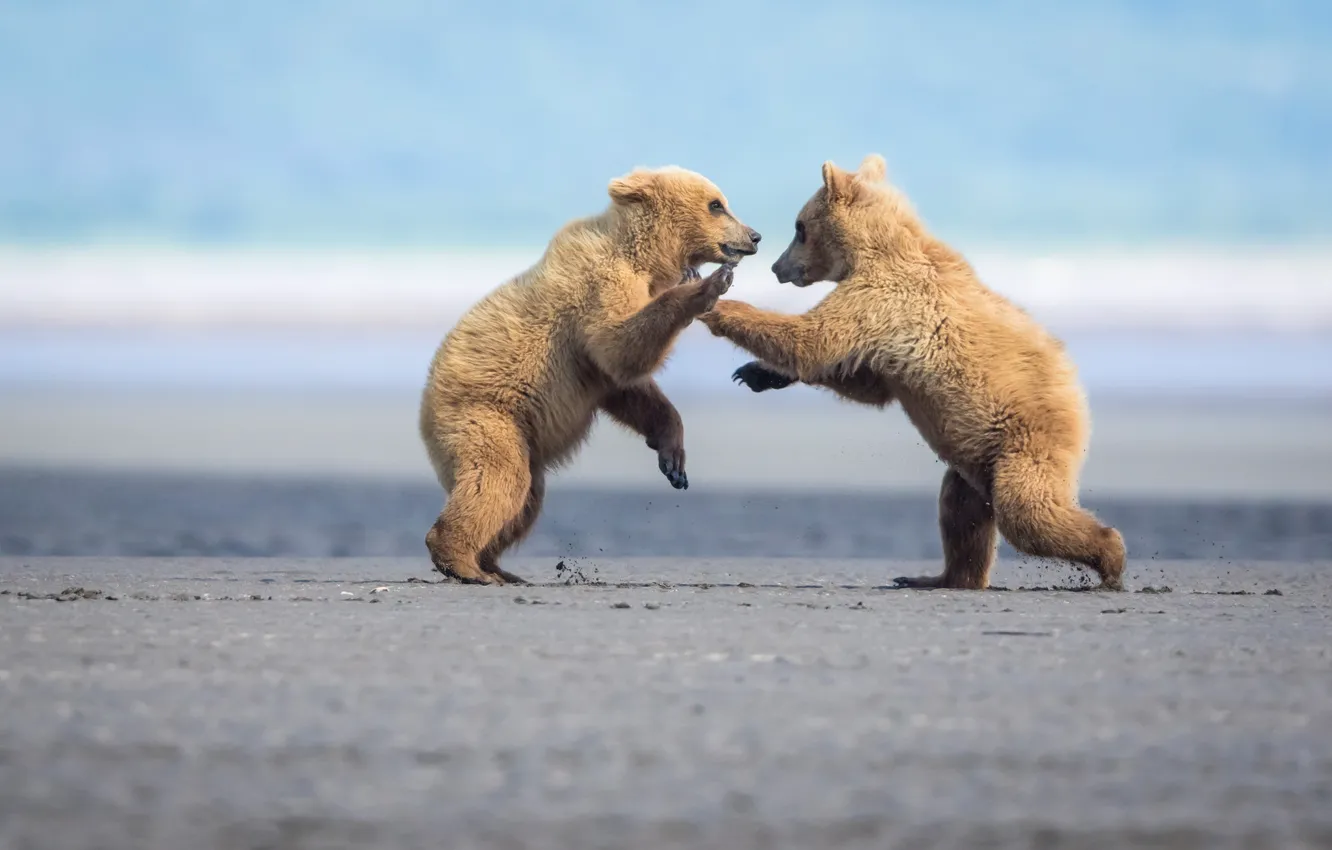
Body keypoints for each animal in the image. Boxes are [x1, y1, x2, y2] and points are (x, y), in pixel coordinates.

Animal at [419, 166, 760, 585]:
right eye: (717, 204)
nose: (754, 236)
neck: (642, 256)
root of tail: (425, 410)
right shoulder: (598, 286)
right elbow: (620, 344)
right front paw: (705, 284)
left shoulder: (591, 360)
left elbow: (629, 386)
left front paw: (673, 459)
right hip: (485, 415)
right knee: (499, 480)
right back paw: (464, 564)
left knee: (526, 498)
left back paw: (498, 567)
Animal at [700, 154, 1125, 591]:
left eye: (799, 228)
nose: (776, 266)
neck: (872, 251)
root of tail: (1078, 401)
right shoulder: (887, 331)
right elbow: (866, 382)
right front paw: (758, 373)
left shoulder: (881, 297)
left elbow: (812, 340)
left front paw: (716, 302)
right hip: (977, 462)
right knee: (960, 509)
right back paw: (939, 577)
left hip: (1027, 442)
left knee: (1028, 513)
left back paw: (1111, 559)